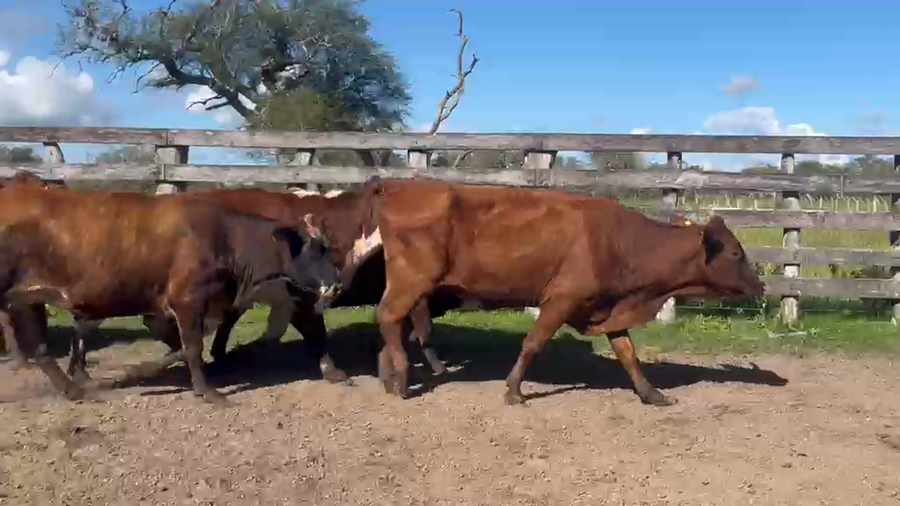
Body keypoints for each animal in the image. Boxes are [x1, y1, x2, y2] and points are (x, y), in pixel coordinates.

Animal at [0, 183, 342, 405]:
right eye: (315, 249)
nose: (338, 281)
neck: (226, 240)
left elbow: (183, 346)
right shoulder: (188, 301)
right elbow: (191, 347)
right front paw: (208, 392)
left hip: (29, 296)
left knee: (40, 348)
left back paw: (73, 389)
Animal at [370, 178, 765, 406]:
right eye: (735, 252)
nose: (760, 285)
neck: (621, 241)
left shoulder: (605, 308)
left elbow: (628, 353)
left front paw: (652, 394)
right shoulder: (560, 300)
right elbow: (532, 343)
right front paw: (514, 391)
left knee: (396, 324)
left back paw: (389, 376)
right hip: (412, 281)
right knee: (388, 316)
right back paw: (401, 378)